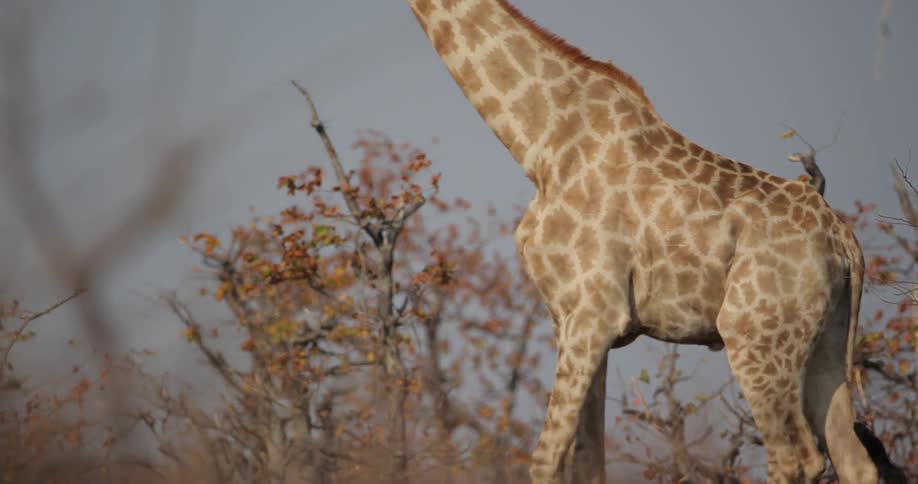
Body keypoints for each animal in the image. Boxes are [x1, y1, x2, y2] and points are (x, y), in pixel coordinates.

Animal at [405, 1, 893, 482]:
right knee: (854, 459)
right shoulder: (572, 320)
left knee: (797, 457)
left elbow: (545, 460)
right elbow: (588, 464)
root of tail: (845, 243)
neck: (541, 146)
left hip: (755, 333)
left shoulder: (594, 312)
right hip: (824, 343)